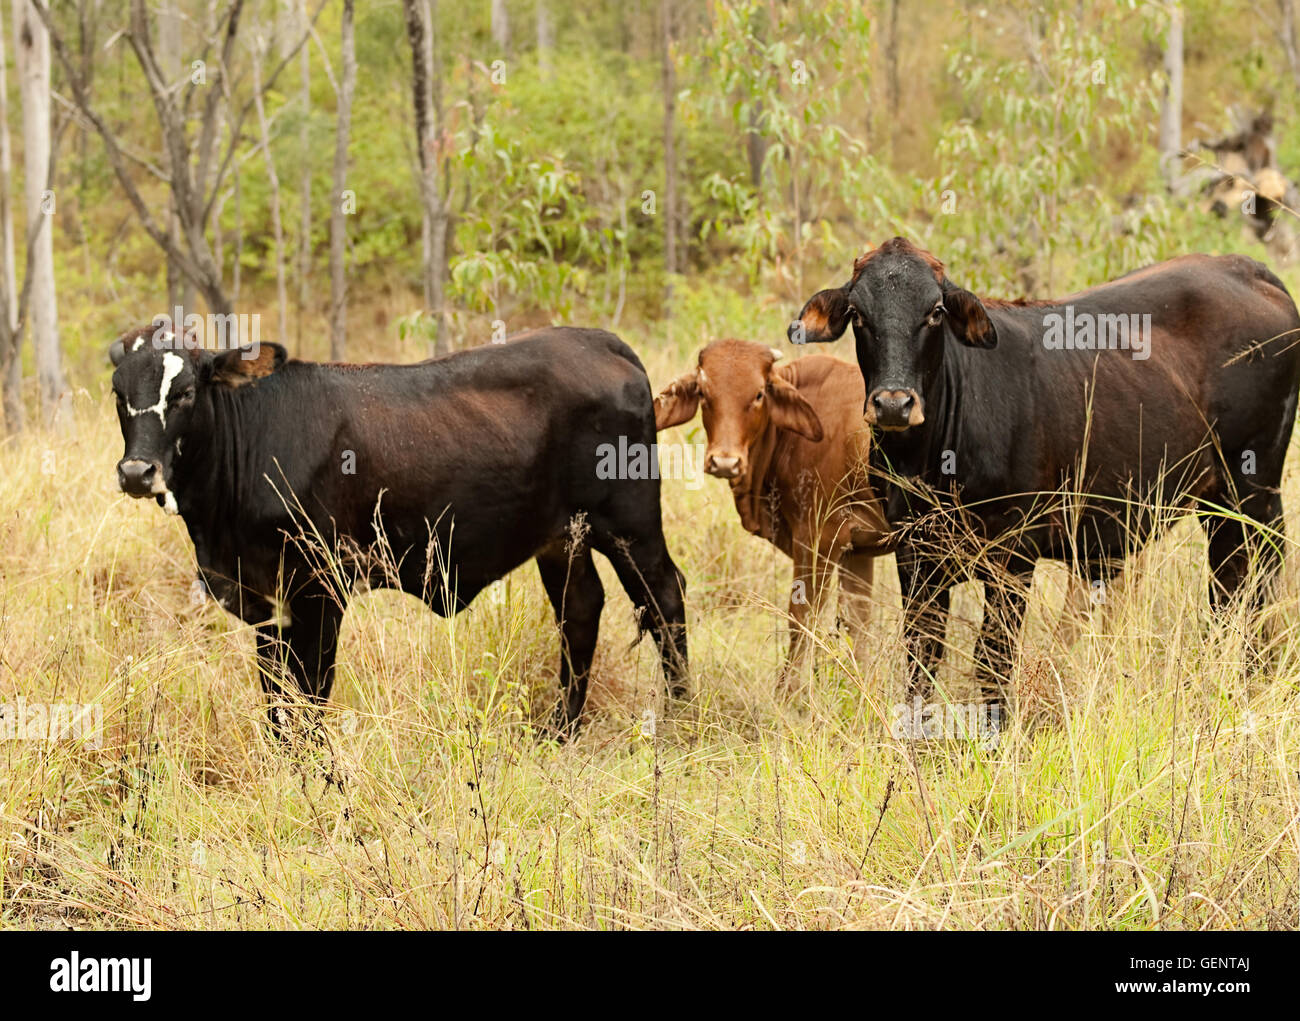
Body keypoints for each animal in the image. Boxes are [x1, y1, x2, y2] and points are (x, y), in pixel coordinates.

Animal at [111, 322, 691, 728]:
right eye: (119, 392)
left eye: (186, 392)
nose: (138, 471)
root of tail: (599, 340)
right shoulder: (264, 598)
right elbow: (276, 700)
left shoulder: (320, 589)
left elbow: (311, 694)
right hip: (561, 535)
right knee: (580, 608)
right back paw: (560, 729)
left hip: (630, 521)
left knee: (664, 597)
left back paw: (680, 717)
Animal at [655, 338, 889, 686]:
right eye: (703, 392)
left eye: (758, 394)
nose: (725, 462)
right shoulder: (857, 549)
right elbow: (858, 628)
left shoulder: (819, 538)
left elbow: (801, 620)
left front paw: (788, 692)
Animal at [790, 235, 1300, 707]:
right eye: (857, 313)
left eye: (935, 312)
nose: (894, 404)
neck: (929, 460)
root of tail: (1246, 268)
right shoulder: (914, 554)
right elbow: (922, 657)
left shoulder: (1014, 554)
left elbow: (992, 660)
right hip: (1219, 502)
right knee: (1228, 586)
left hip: (1252, 488)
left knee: (1254, 578)